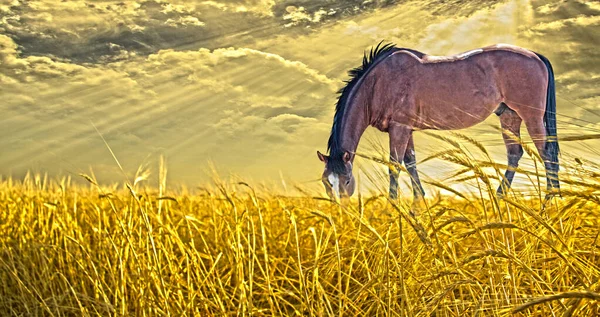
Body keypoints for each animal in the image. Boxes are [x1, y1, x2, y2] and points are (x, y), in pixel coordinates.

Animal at [316, 42, 560, 202]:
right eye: (326, 181)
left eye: (347, 180)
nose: (342, 212)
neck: (379, 82)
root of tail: (535, 55)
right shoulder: (407, 129)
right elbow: (410, 163)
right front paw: (418, 202)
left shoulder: (399, 128)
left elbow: (395, 166)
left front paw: (393, 205)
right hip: (509, 116)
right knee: (514, 154)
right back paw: (500, 198)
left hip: (531, 116)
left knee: (546, 152)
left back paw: (550, 200)